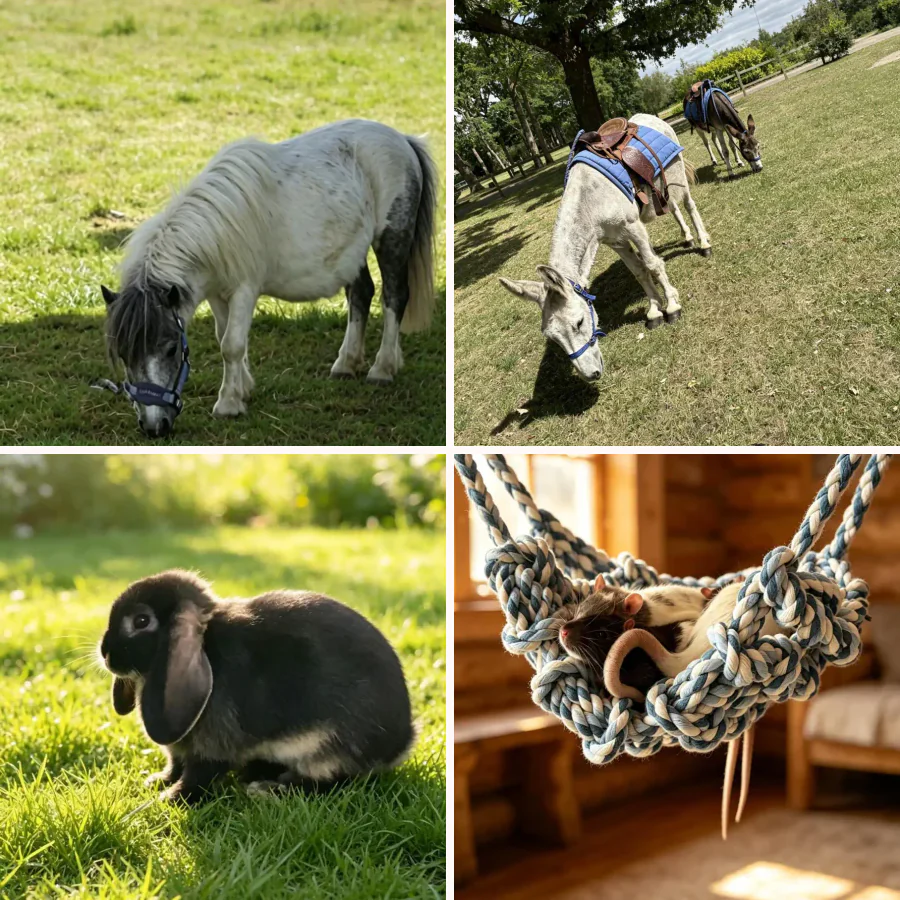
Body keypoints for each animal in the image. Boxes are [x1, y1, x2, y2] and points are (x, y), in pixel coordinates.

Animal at [98, 569, 415, 804]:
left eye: (141, 621)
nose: (105, 652)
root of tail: (402, 742)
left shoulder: (212, 747)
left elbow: (197, 777)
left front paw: (169, 799)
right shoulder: (179, 750)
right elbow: (175, 764)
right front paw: (156, 781)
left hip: (327, 748)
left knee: (331, 782)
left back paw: (268, 788)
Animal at [101, 119, 436, 437]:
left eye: (171, 349)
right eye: (124, 353)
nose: (153, 426)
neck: (216, 232)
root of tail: (403, 139)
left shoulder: (244, 290)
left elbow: (231, 344)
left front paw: (228, 404)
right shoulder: (216, 294)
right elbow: (224, 337)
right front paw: (243, 389)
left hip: (392, 239)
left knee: (394, 296)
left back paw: (383, 368)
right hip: (352, 254)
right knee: (361, 293)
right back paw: (346, 363)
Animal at [498, 113, 712, 381]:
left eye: (579, 322)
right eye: (551, 336)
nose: (590, 374)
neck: (592, 200)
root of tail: (650, 118)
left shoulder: (633, 227)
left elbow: (652, 264)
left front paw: (672, 307)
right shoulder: (615, 240)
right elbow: (640, 272)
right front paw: (654, 311)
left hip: (677, 175)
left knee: (689, 205)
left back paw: (703, 243)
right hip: (662, 188)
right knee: (672, 207)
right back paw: (687, 238)